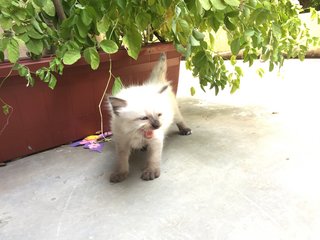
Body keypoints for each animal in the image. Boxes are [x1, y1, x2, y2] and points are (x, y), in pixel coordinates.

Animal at [109, 54, 191, 182]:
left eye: (159, 115)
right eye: (144, 118)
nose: (157, 125)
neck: (137, 133)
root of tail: (156, 83)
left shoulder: (156, 141)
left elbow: (153, 158)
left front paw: (151, 172)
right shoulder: (122, 142)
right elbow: (122, 161)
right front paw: (120, 174)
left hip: (175, 114)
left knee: (180, 120)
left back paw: (185, 130)